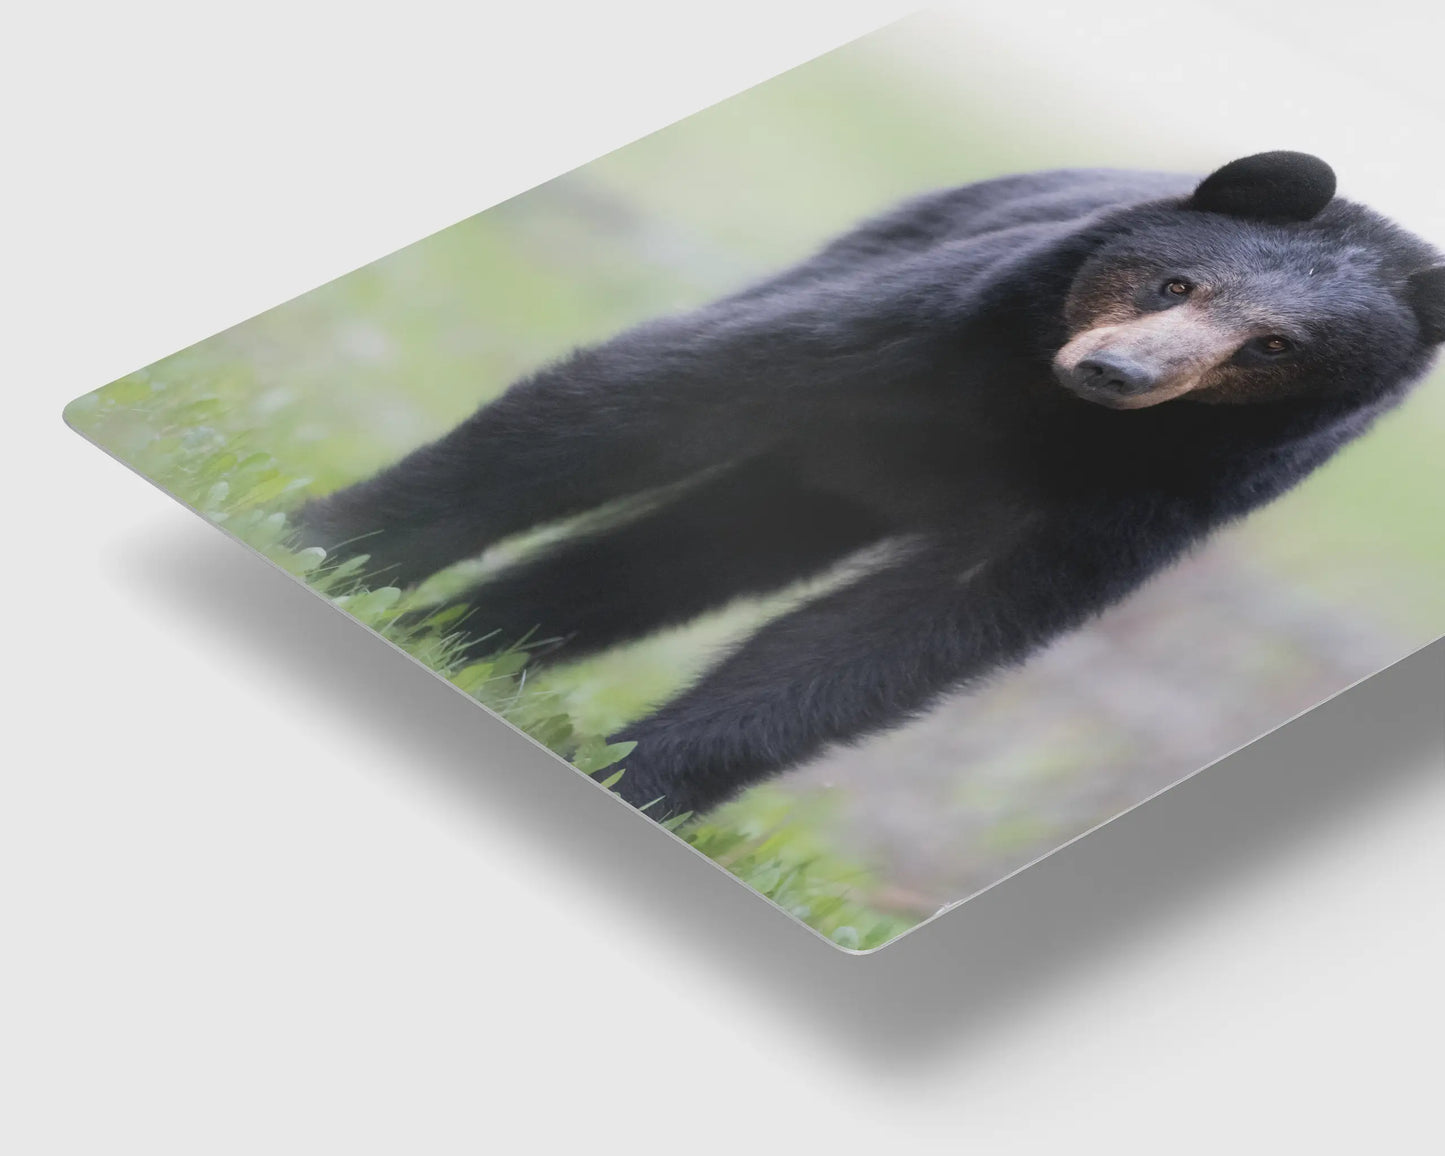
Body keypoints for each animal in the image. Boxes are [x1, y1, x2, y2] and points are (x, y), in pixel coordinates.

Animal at [299, 151, 1445, 818]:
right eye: (1176, 281)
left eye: (1270, 346)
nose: (1115, 373)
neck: (1046, 419)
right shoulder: (942, 317)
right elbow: (648, 397)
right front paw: (327, 539)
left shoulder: (1169, 495)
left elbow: (917, 631)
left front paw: (639, 776)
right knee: (688, 532)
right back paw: (450, 632)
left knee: (692, 554)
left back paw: (473, 644)